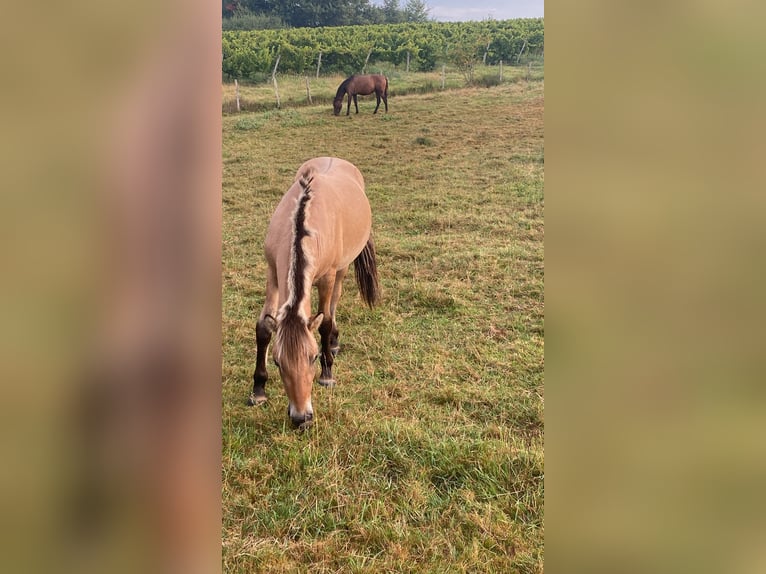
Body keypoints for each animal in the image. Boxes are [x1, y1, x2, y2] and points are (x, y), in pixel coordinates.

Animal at [252, 155, 380, 430]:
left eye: (312, 358)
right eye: (277, 361)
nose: (302, 419)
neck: (302, 221)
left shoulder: (328, 277)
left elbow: (325, 322)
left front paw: (327, 374)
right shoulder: (272, 272)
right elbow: (264, 328)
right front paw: (258, 390)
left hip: (341, 270)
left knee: (334, 304)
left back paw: (333, 343)